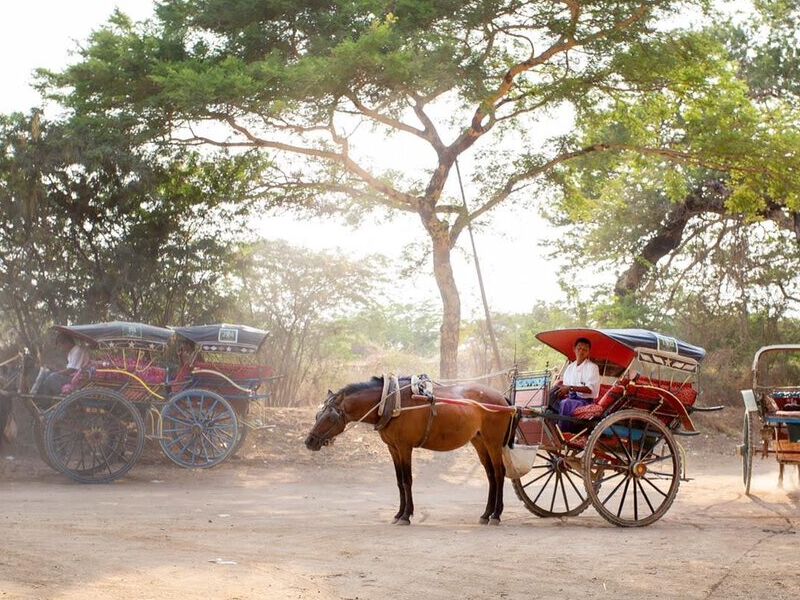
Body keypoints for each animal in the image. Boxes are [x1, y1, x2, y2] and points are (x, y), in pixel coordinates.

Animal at [304, 376, 516, 524]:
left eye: (330, 417)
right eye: (317, 415)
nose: (309, 441)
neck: (390, 403)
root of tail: (504, 399)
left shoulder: (404, 447)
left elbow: (407, 480)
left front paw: (406, 515)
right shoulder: (393, 448)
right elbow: (399, 482)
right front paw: (398, 514)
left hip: (493, 442)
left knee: (499, 474)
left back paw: (496, 515)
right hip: (479, 441)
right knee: (490, 475)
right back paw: (486, 514)